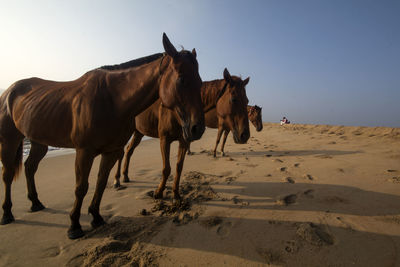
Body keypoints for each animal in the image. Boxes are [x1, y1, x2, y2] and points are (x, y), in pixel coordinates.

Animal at [0, 32, 205, 240]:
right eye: (181, 79)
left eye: (199, 82)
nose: (197, 128)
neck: (112, 99)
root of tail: (10, 91)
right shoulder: (84, 152)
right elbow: (81, 187)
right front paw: (74, 226)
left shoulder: (111, 152)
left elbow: (100, 182)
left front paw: (96, 216)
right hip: (9, 141)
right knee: (8, 175)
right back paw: (7, 214)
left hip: (39, 142)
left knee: (29, 168)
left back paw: (35, 203)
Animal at [113, 68, 250, 199]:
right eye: (234, 99)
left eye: (247, 101)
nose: (245, 135)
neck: (179, 111)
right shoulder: (164, 139)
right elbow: (166, 169)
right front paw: (158, 193)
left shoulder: (183, 141)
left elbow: (179, 167)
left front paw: (176, 195)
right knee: (121, 153)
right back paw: (117, 180)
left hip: (138, 132)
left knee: (129, 150)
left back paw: (125, 176)